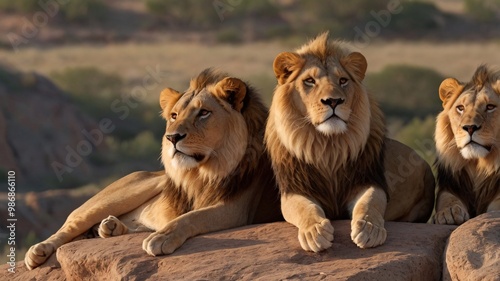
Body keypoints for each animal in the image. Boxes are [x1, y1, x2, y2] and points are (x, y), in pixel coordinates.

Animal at [25, 68, 282, 270]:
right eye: (174, 115)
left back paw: (110, 227)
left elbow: (191, 217)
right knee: (70, 224)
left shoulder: (236, 208)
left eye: (204, 113)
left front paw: (161, 237)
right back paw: (39, 250)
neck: (202, 172)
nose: (172, 137)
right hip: (127, 191)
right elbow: (190, 215)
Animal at [264, 32, 436, 252]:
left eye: (343, 80)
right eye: (309, 81)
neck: (328, 145)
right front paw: (314, 232)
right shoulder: (295, 188)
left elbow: (370, 202)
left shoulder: (367, 179)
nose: (333, 101)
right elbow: (304, 208)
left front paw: (369, 229)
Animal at [432, 64, 498, 224]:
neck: (479, 166)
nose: (470, 127)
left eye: (490, 107)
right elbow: (446, 198)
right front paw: (448, 212)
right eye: (460, 108)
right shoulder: (450, 185)